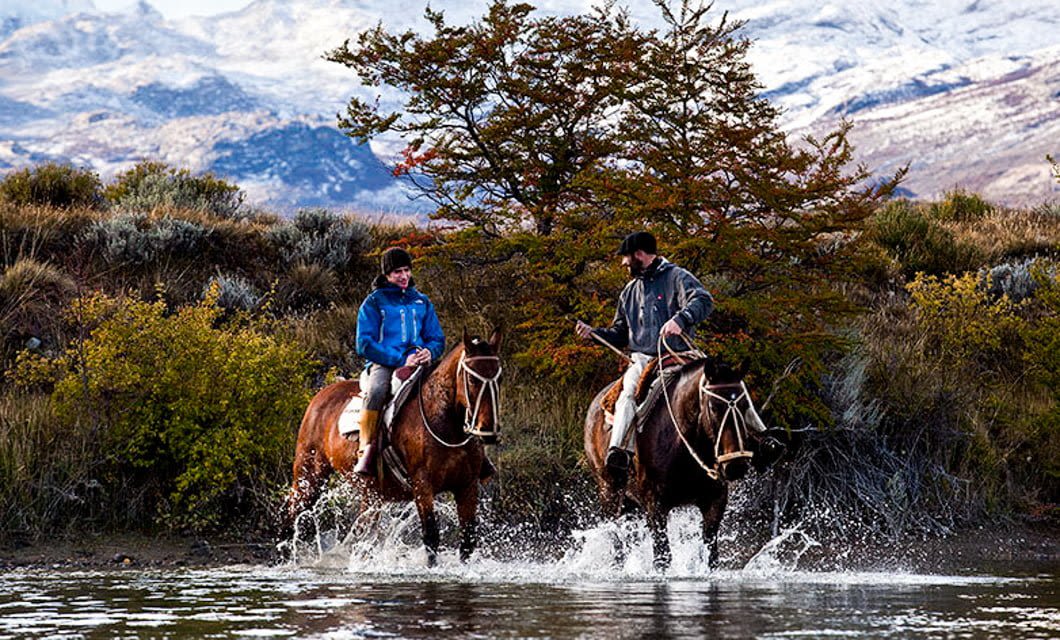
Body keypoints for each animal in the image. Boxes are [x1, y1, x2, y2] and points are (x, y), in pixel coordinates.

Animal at [285, 329, 502, 566]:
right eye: (472, 379)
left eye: (499, 378)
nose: (487, 429)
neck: (447, 425)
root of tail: (320, 396)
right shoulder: (422, 485)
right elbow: (431, 537)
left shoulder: (467, 486)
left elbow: (467, 541)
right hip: (309, 477)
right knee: (294, 512)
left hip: (371, 493)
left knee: (363, 532)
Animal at [584, 356, 766, 570]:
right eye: (713, 407)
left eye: (746, 405)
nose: (735, 465)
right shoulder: (655, 504)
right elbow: (662, 558)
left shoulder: (715, 500)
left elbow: (711, 556)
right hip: (609, 490)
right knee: (616, 539)